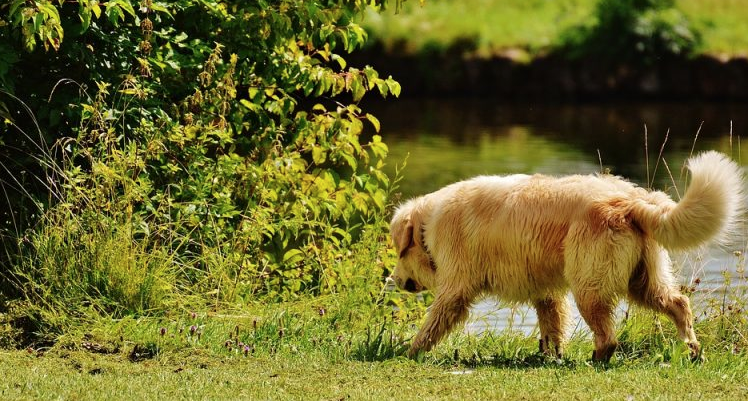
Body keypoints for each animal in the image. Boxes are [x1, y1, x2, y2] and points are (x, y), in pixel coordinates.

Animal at [392, 152, 744, 360]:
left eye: (398, 252)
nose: (393, 279)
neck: (428, 223)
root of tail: (630, 200)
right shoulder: (546, 292)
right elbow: (553, 325)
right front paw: (552, 356)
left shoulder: (456, 288)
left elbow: (433, 322)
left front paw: (410, 350)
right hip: (644, 280)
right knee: (679, 303)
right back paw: (692, 348)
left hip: (589, 284)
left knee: (608, 336)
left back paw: (597, 359)